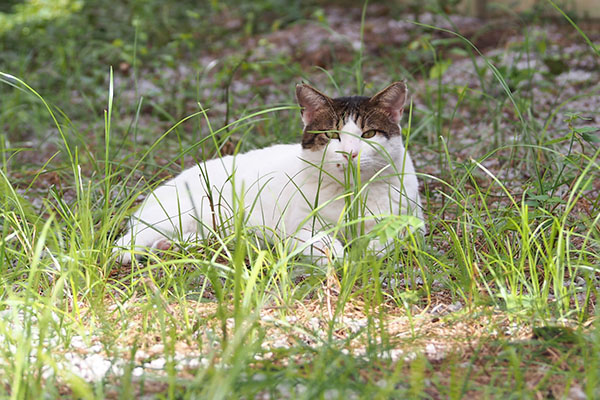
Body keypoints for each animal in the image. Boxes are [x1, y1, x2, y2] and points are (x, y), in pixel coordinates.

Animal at [112, 81, 422, 264]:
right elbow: (322, 242)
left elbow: (387, 237)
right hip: (179, 213)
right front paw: (337, 254)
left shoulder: (412, 222)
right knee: (123, 243)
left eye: (368, 134)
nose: (350, 153)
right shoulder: (296, 227)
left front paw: (367, 250)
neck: (351, 194)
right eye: (332, 135)